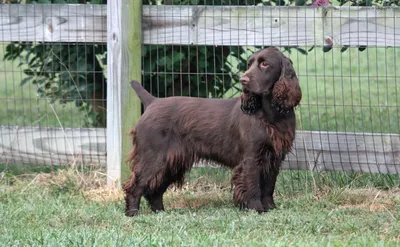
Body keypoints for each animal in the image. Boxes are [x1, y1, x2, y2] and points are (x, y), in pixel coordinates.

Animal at [123, 47, 302, 215]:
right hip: (153, 157)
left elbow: (269, 187)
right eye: (249, 64)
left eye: (265, 64)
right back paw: (133, 213)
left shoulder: (274, 158)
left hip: (172, 162)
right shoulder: (252, 157)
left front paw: (270, 208)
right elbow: (253, 186)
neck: (270, 113)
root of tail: (152, 102)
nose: (243, 80)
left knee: (155, 189)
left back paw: (160, 212)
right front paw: (256, 209)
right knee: (135, 186)